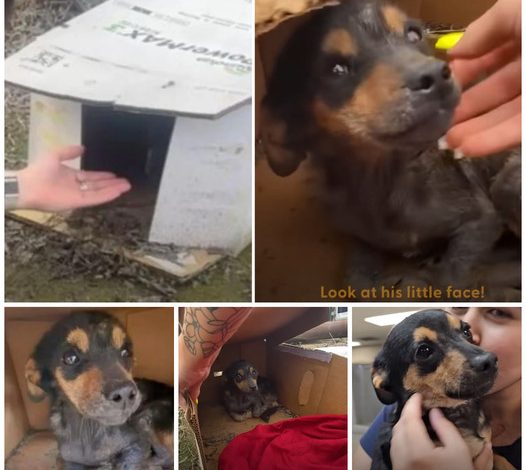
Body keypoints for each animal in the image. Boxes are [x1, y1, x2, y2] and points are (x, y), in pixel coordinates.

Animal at [25, 312, 173, 470]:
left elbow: (129, 462)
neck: (89, 429)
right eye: (70, 357)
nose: (125, 392)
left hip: (144, 418)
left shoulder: (138, 445)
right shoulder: (71, 461)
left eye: (125, 352)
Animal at [262, 0, 520, 292]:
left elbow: (449, 278)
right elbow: (356, 279)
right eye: (336, 70)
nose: (436, 74)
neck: (383, 177)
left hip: (506, 185)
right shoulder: (358, 237)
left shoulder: (480, 221)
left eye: (414, 35)